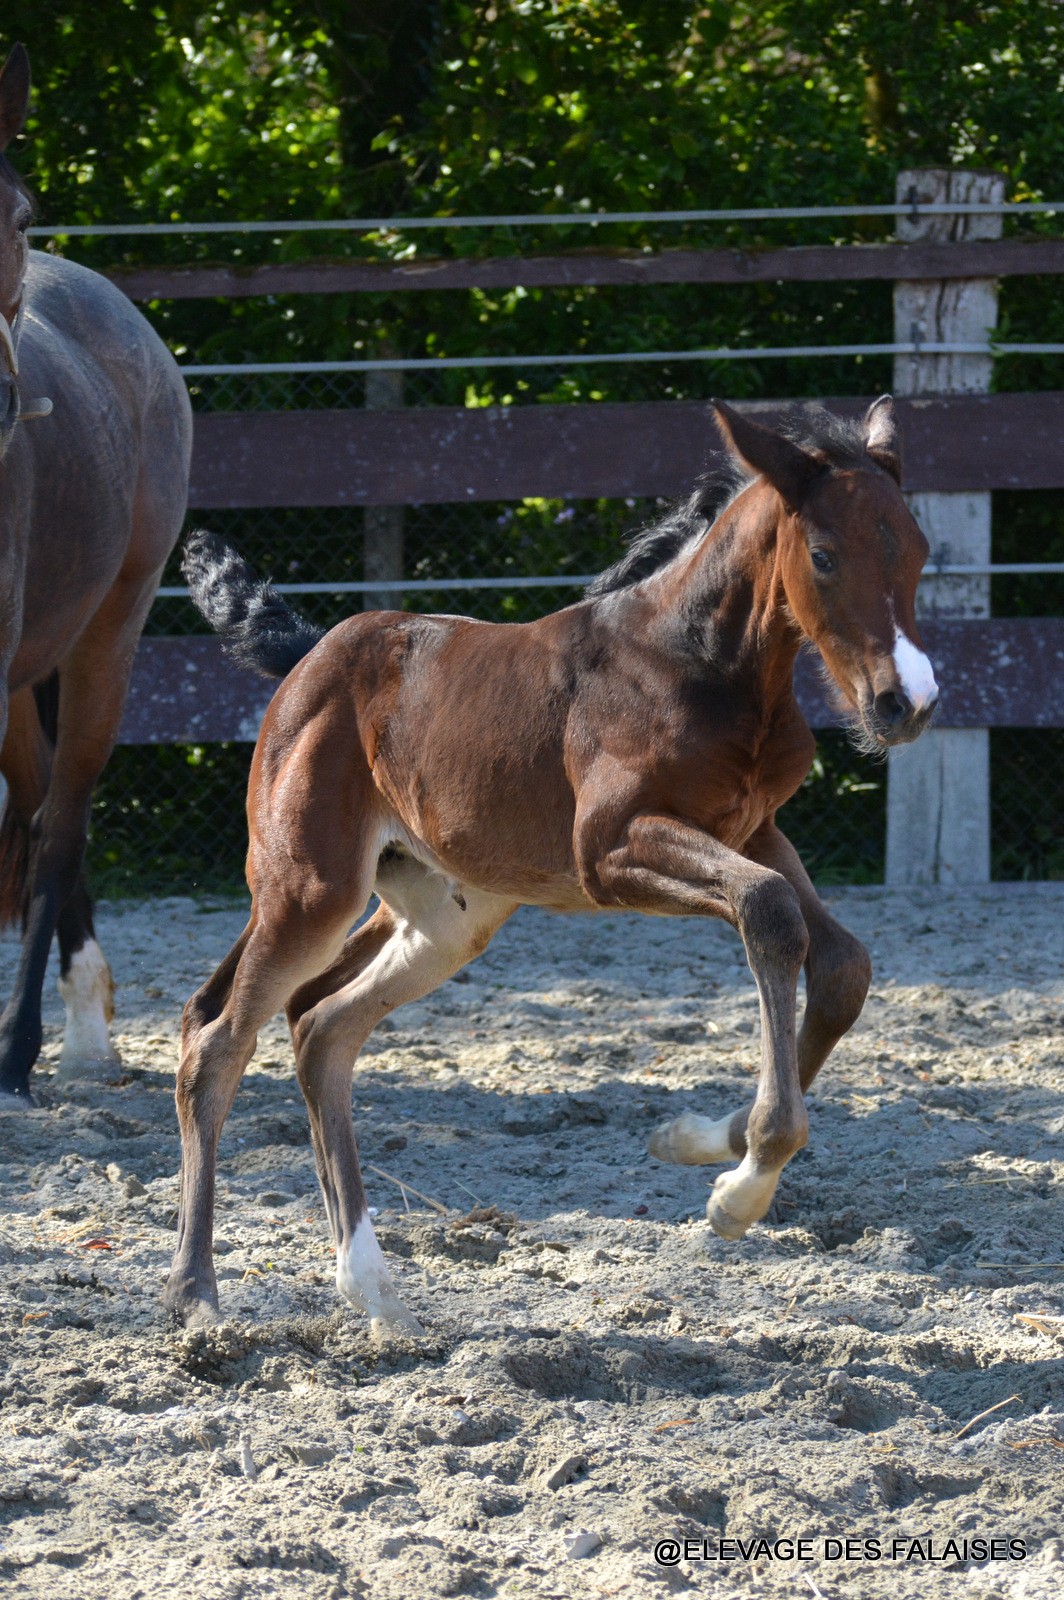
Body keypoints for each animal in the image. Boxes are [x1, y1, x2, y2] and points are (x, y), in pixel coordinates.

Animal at [161, 396, 934, 1337]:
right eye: (823, 555)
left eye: (918, 548)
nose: (906, 704)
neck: (696, 661)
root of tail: (309, 653)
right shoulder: (612, 848)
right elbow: (770, 914)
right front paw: (740, 1191)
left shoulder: (753, 830)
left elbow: (839, 961)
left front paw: (703, 1143)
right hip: (308, 889)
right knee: (217, 1043)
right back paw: (197, 1293)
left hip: (444, 915)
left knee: (321, 1028)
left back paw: (372, 1288)